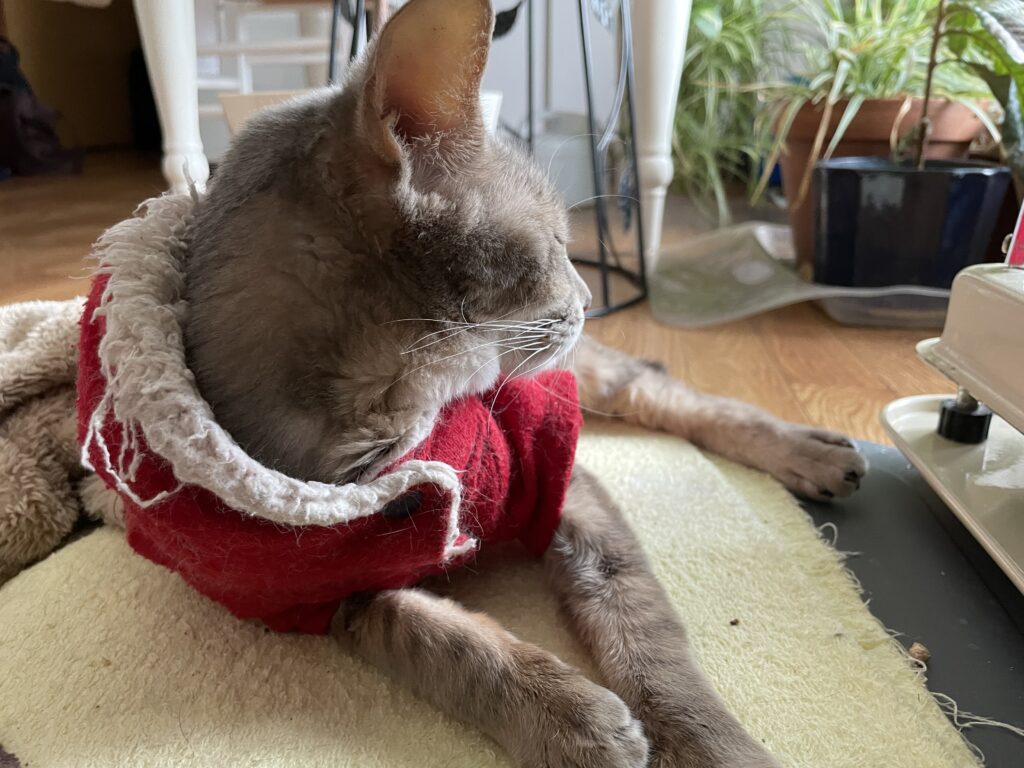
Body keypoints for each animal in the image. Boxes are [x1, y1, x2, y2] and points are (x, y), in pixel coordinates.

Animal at [182, 0, 866, 765]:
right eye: (559, 244)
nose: (588, 297)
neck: (374, 436)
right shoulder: (326, 591)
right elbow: (442, 642)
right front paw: (569, 716)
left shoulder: (567, 481)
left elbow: (646, 637)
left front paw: (712, 747)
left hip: (567, 373)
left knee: (666, 391)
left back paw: (811, 452)